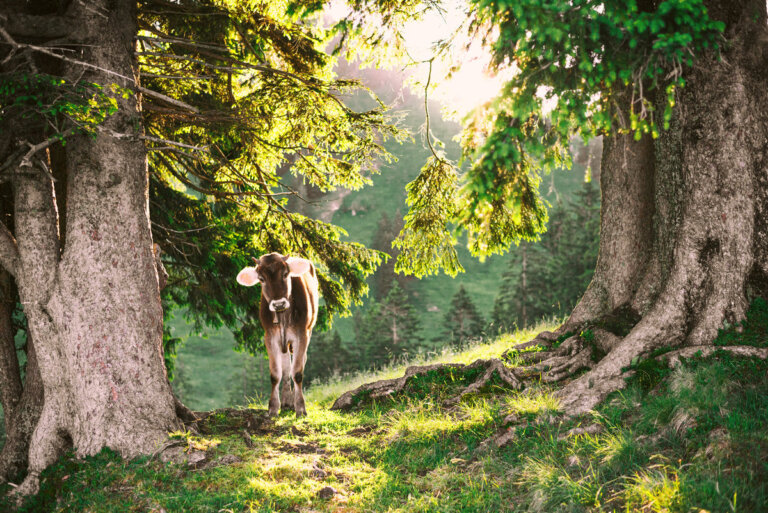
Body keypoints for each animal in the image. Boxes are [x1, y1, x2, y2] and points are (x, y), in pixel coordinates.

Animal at [236, 252, 319, 417]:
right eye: (261, 279)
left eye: (285, 274)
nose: (278, 304)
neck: (283, 315)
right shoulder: (270, 337)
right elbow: (275, 374)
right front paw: (273, 408)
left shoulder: (302, 334)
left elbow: (298, 372)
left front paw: (301, 408)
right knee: (286, 367)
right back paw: (287, 401)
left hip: (308, 330)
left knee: (299, 363)